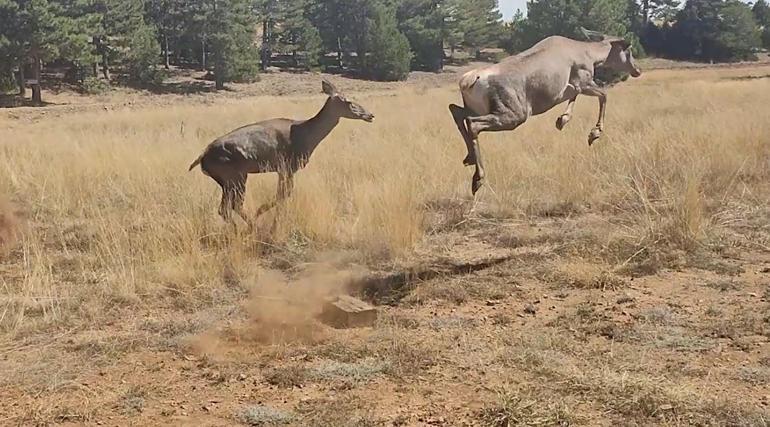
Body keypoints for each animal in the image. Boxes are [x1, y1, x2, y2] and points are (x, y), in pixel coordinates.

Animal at [189, 81, 376, 227]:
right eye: (348, 101)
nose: (370, 115)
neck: (306, 135)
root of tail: (202, 158)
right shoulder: (287, 166)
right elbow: (284, 195)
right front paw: (266, 217)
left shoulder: (282, 170)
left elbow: (283, 195)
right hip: (235, 176)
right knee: (232, 206)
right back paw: (252, 226)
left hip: (227, 181)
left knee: (225, 209)